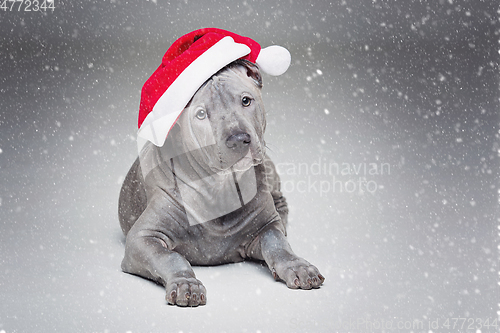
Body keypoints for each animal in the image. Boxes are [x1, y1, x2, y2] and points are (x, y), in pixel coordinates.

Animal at [119, 60, 326, 306]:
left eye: (246, 100)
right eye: (200, 114)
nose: (238, 139)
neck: (219, 187)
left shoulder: (266, 225)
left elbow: (278, 244)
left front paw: (298, 266)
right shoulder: (141, 238)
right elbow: (170, 257)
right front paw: (185, 283)